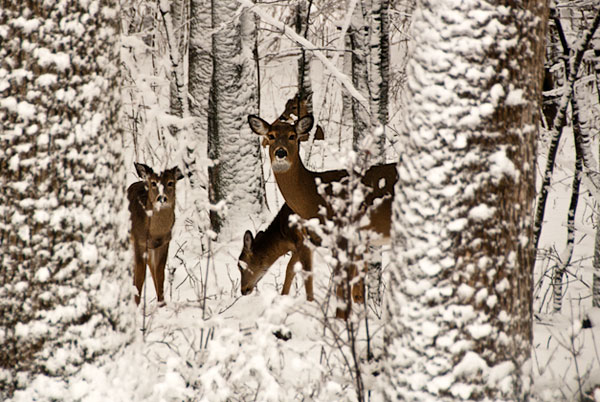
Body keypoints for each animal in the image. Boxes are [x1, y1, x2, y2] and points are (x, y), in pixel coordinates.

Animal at [126, 162, 183, 306]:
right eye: (153, 183)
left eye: (170, 182)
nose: (161, 198)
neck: (155, 233)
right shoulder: (139, 242)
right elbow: (140, 275)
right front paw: (136, 305)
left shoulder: (165, 243)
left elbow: (159, 273)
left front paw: (162, 304)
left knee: (151, 267)